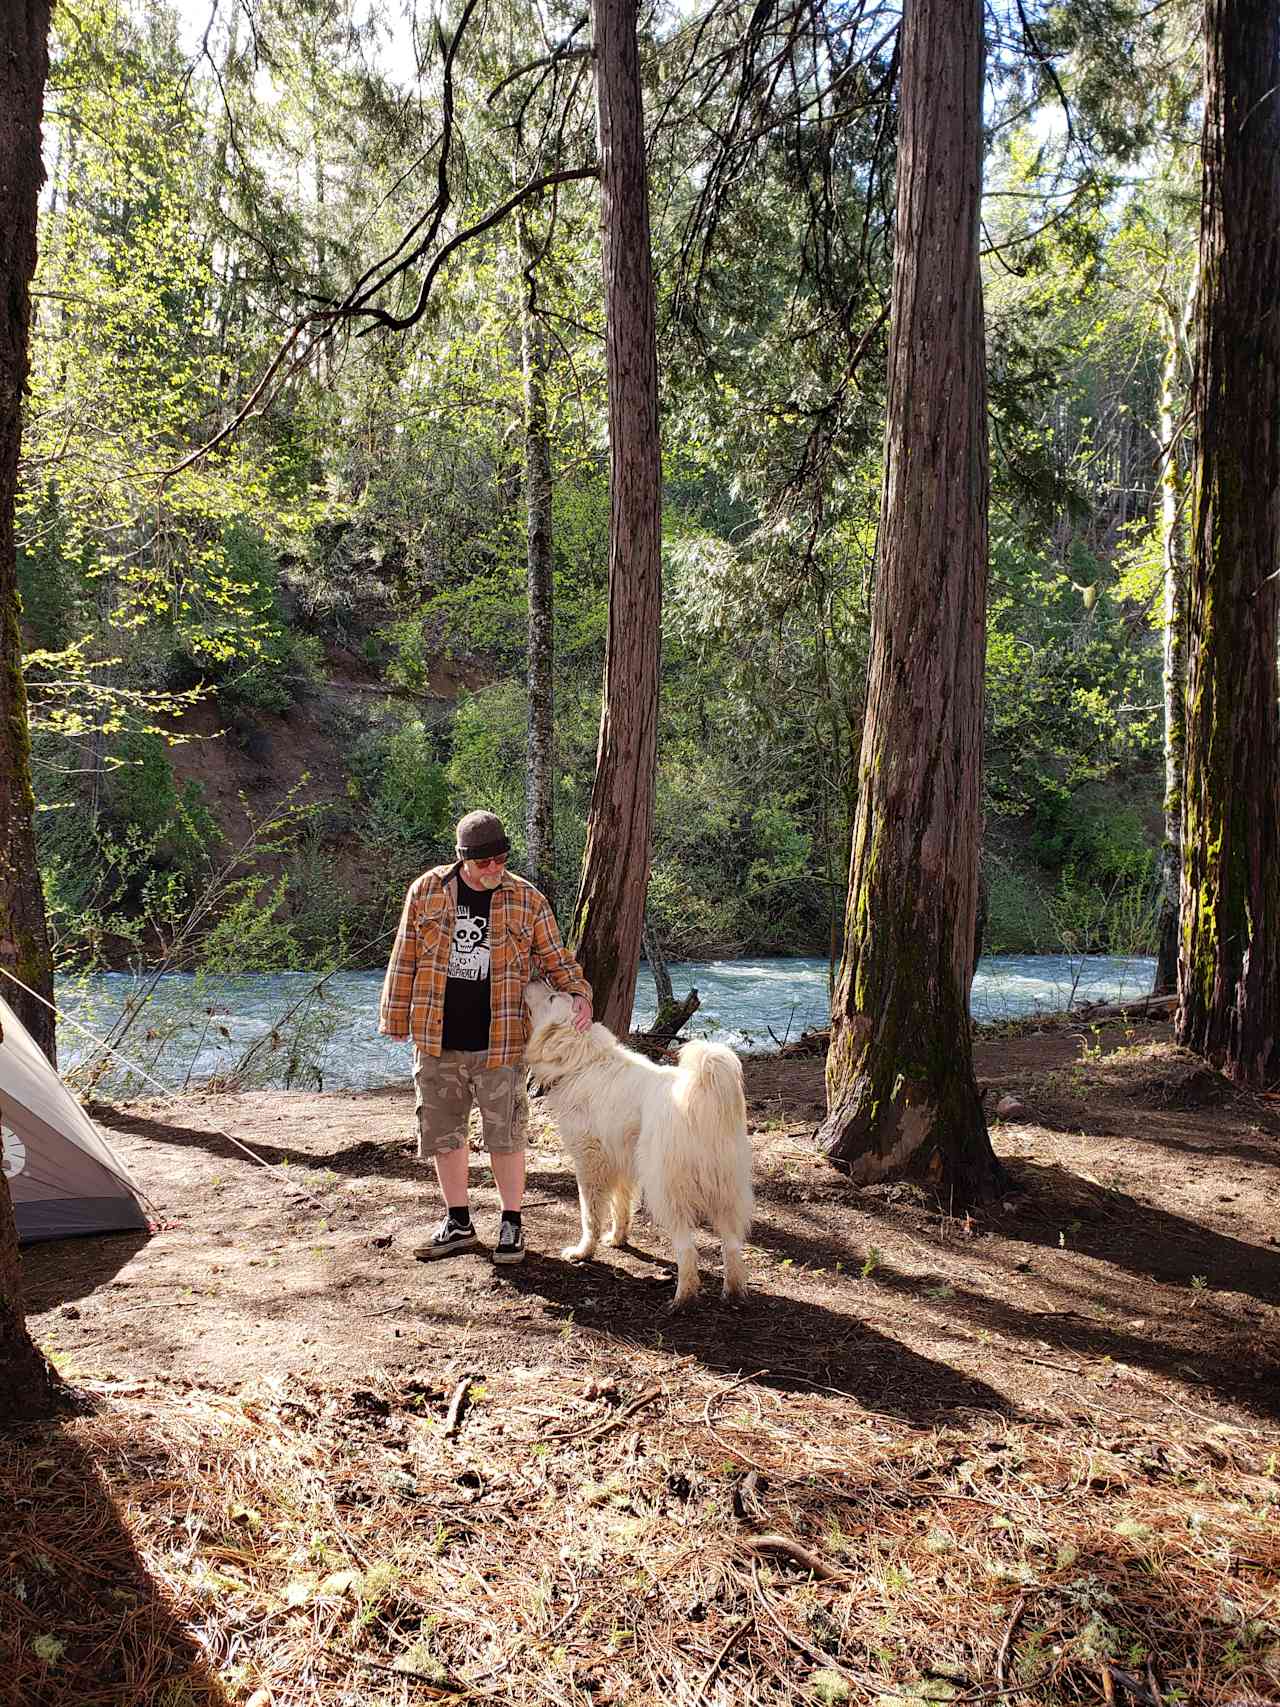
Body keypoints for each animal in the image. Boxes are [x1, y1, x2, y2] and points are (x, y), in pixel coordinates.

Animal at [525, 976, 757, 1304]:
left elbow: (590, 1215)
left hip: (665, 1190)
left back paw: (682, 1298)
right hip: (726, 1191)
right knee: (733, 1245)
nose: (535, 976)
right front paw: (617, 1239)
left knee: (688, 1249)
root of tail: (702, 1094)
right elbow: (620, 1208)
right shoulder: (622, 1163)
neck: (582, 1060)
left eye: (552, 997)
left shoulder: (589, 1162)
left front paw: (584, 1252)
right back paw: (733, 1292)